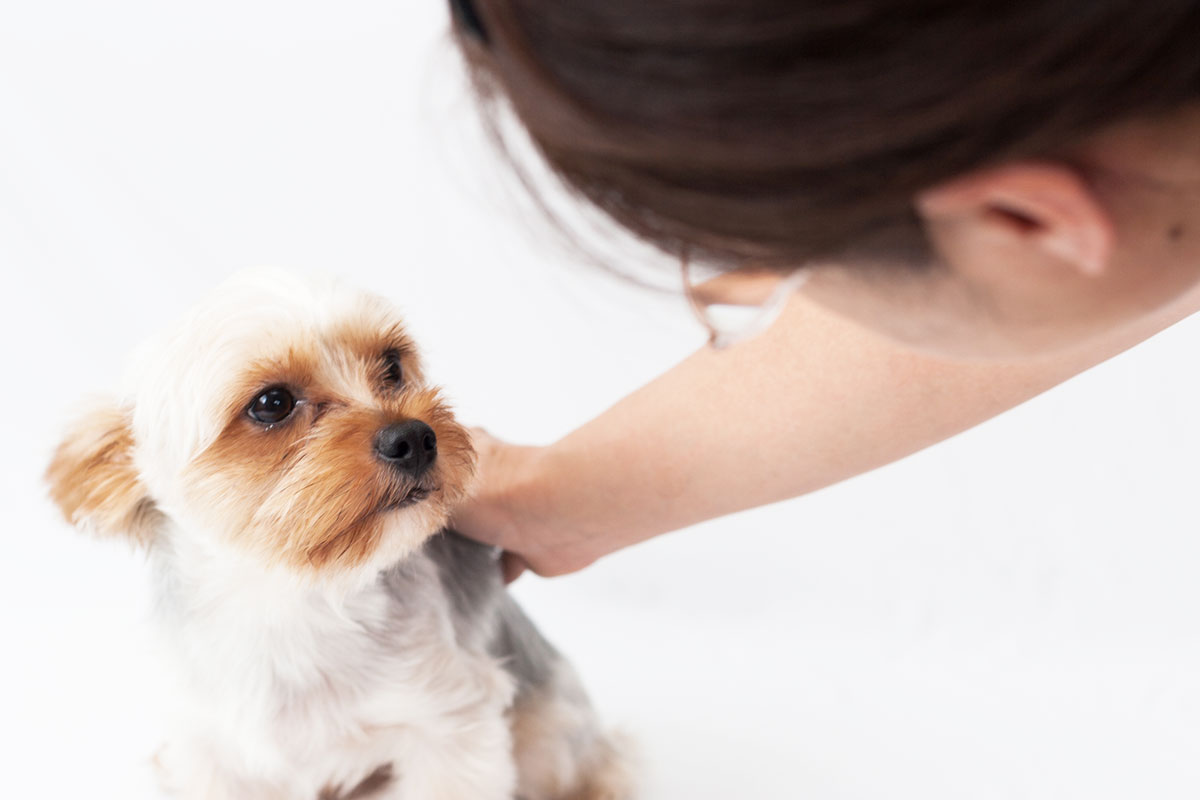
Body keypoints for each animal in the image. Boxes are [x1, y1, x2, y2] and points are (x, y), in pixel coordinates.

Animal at [44, 271, 638, 800]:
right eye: (272, 403)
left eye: (393, 365)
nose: (415, 437)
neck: (287, 603)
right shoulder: (214, 753)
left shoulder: (450, 721)